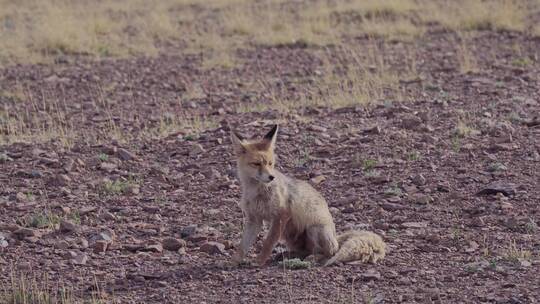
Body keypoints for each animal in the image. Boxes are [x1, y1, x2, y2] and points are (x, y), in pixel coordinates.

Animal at [230, 123, 386, 266]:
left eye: (270, 163)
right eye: (256, 164)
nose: (271, 177)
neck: (257, 192)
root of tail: (336, 238)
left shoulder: (282, 215)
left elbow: (268, 242)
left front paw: (259, 261)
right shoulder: (254, 219)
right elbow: (243, 245)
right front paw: (234, 261)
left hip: (313, 229)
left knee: (328, 253)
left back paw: (314, 258)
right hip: (289, 235)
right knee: (305, 251)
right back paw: (290, 255)